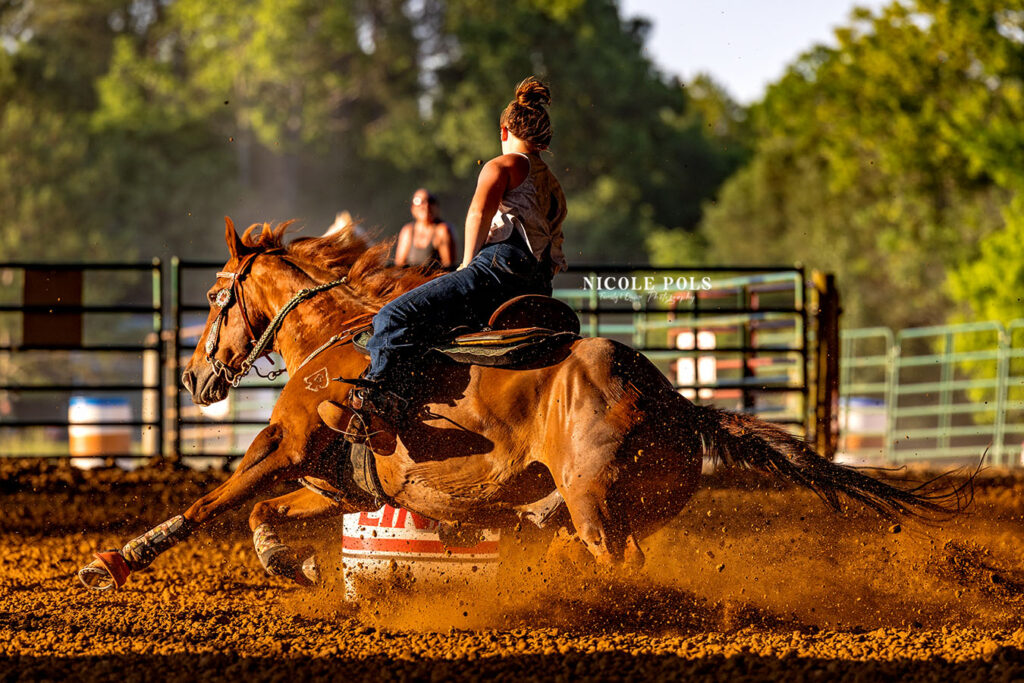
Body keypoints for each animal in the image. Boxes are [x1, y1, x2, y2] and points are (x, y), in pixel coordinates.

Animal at [77, 220, 966, 593]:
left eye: (216, 296)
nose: (194, 377)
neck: (333, 343)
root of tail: (680, 405)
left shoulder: (283, 447)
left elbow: (214, 500)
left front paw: (111, 560)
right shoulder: (343, 482)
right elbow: (266, 514)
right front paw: (293, 563)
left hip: (596, 503)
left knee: (617, 563)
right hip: (611, 505)